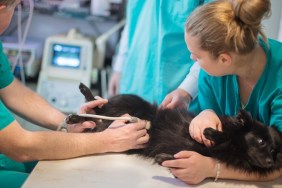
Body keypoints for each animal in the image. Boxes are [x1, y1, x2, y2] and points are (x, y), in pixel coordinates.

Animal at [66, 83, 282, 176]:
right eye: (260, 142)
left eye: (273, 150)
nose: (271, 162)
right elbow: (221, 134)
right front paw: (211, 132)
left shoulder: (199, 152)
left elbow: (176, 156)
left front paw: (163, 159)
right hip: (127, 102)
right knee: (97, 107)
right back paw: (82, 97)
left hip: (105, 129)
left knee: (95, 121)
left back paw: (76, 118)